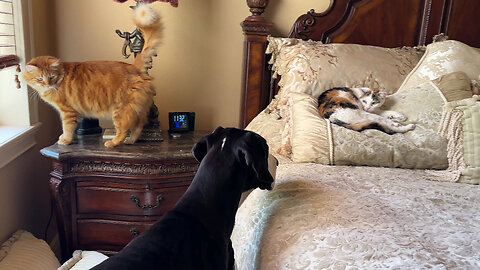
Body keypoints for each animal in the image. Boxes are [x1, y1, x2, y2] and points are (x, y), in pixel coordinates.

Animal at [22, 3, 162, 148]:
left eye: (51, 77)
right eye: (39, 79)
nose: (47, 84)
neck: (60, 77)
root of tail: (134, 66)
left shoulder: (67, 112)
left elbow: (67, 128)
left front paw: (65, 140)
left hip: (121, 111)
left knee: (123, 130)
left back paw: (113, 143)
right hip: (137, 109)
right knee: (139, 126)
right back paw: (131, 140)